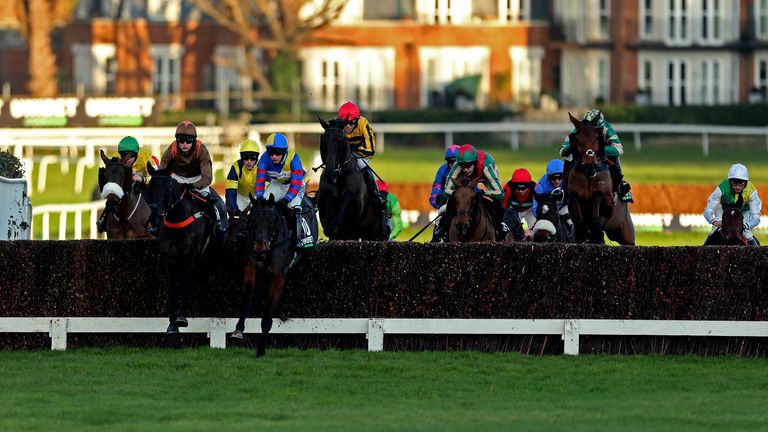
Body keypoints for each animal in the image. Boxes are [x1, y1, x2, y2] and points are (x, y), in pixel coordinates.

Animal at [144, 164, 214, 332]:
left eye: (168, 187)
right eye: (149, 187)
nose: (156, 216)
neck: (176, 220)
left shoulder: (190, 254)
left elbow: (185, 282)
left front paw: (182, 318)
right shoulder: (168, 256)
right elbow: (172, 287)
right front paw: (172, 324)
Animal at [228, 196, 294, 358]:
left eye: (271, 221)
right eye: (252, 220)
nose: (259, 249)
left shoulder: (278, 277)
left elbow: (268, 313)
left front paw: (260, 350)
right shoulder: (250, 266)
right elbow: (247, 297)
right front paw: (238, 330)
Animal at [564, 113, 636, 245]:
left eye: (597, 137)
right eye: (577, 139)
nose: (590, 166)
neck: (589, 175)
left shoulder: (608, 204)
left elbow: (597, 218)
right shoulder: (572, 199)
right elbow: (580, 219)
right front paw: (586, 232)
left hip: (625, 233)